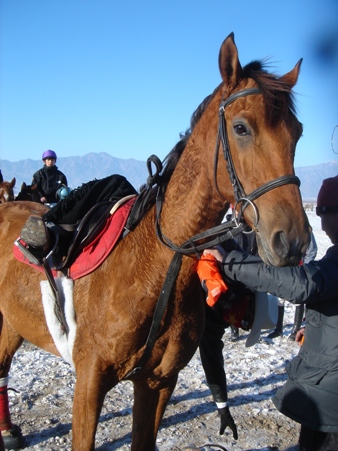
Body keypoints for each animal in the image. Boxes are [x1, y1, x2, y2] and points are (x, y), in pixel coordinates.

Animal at [0, 32, 312, 451]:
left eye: (297, 132)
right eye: (242, 128)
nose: (293, 240)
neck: (154, 268)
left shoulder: (159, 381)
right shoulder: (89, 383)